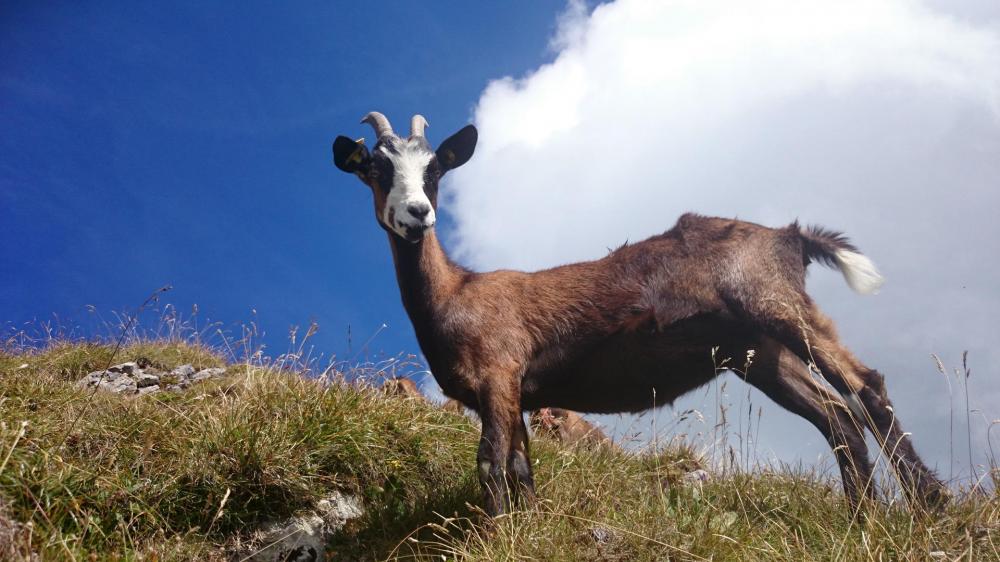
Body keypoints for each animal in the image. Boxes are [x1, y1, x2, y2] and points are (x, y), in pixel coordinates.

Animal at [332, 111, 948, 516]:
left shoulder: (498, 372)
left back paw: (928, 503)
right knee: (834, 414)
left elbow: (491, 463)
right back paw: (861, 516)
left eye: (435, 170)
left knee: (865, 387)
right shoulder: (519, 393)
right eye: (376, 170)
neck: (455, 292)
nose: (418, 213)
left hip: (777, 306)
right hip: (759, 352)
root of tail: (790, 237)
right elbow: (522, 468)